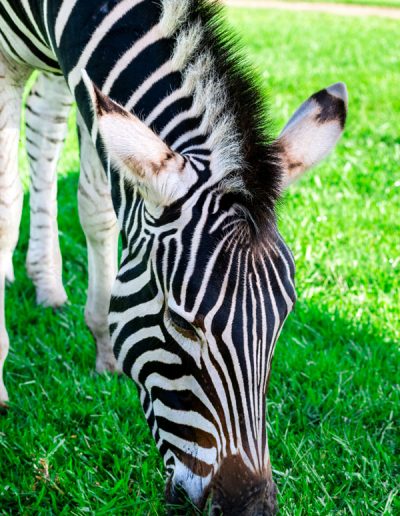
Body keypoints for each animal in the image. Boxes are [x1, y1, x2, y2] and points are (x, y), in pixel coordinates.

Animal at [0, 0, 346, 512]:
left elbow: (96, 205)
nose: (251, 510)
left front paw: (104, 345)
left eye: (283, 320)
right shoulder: (7, 61)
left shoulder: (80, 71)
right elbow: (5, 206)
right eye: (181, 324)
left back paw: (47, 282)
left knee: (43, 131)